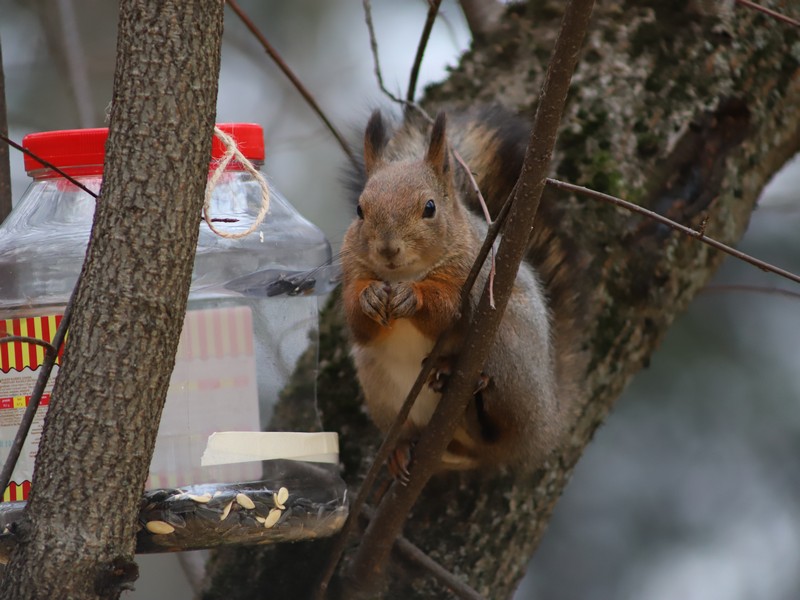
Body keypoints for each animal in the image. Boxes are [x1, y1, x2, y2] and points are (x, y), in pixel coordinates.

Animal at [340, 106, 583, 476]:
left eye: (429, 208)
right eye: (359, 210)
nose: (387, 249)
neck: (404, 274)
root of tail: (547, 423)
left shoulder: (472, 272)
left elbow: (445, 311)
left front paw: (413, 297)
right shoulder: (350, 272)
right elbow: (358, 325)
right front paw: (369, 297)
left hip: (507, 352)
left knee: (496, 428)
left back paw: (465, 385)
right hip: (378, 386)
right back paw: (402, 449)